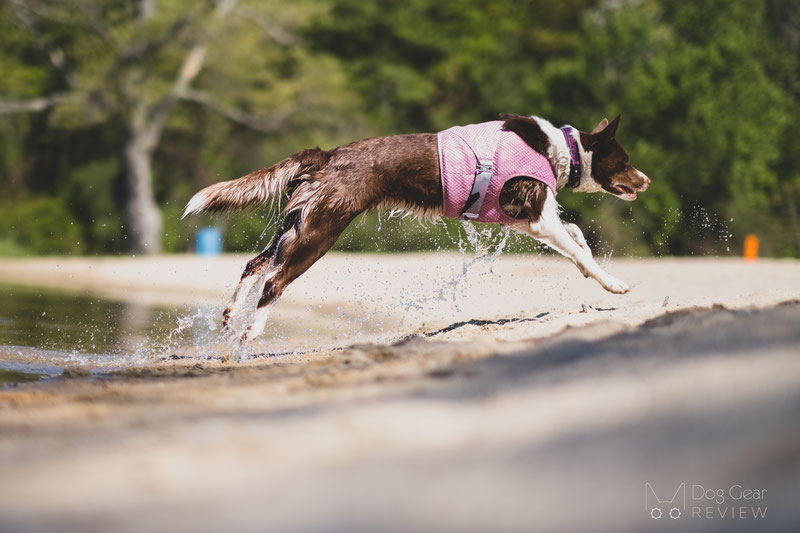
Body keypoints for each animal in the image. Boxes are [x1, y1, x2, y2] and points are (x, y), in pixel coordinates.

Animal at [186, 114, 648, 342]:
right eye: (625, 161)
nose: (645, 180)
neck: (561, 150)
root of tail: (327, 154)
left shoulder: (531, 220)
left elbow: (578, 240)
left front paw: (594, 272)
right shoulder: (536, 215)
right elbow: (579, 246)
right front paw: (613, 284)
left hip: (297, 225)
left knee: (254, 264)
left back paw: (231, 314)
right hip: (320, 232)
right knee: (273, 280)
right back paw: (253, 330)